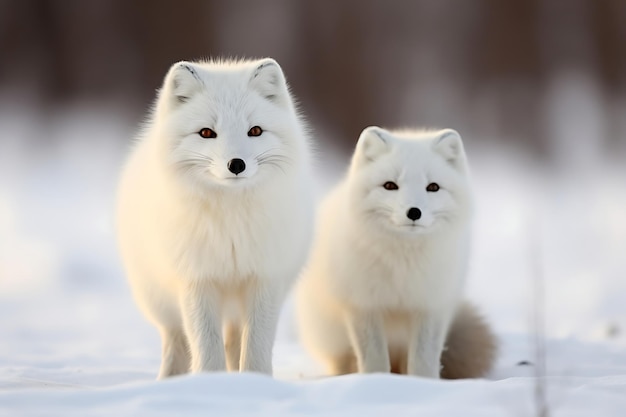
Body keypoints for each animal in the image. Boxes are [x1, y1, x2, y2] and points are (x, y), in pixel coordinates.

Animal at [116, 57, 312, 376]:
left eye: (255, 131)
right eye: (207, 133)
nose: (236, 164)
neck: (230, 226)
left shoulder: (265, 280)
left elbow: (255, 347)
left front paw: (255, 380)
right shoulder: (197, 279)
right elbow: (207, 347)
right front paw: (211, 382)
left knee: (233, 341)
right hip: (160, 302)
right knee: (177, 343)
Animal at [294, 126, 494, 376]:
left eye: (433, 187)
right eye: (390, 185)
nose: (414, 212)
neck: (403, 265)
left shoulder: (431, 305)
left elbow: (424, 360)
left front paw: (423, 383)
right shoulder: (363, 305)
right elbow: (375, 358)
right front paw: (378, 381)